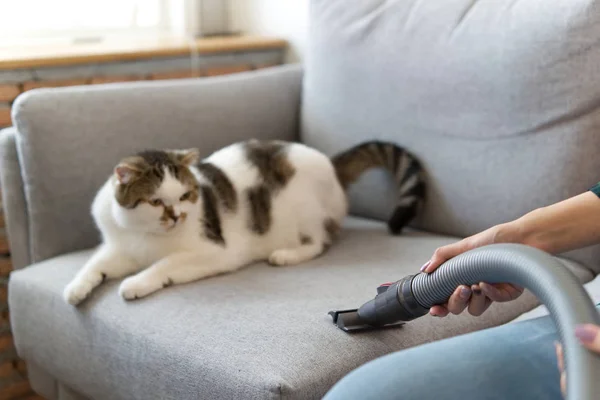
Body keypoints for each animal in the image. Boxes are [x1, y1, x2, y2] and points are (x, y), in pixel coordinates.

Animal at [63, 139, 424, 304]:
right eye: (155, 202)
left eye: (185, 196)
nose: (177, 216)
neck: (145, 234)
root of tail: (328, 160)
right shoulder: (118, 247)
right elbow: (94, 265)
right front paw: (76, 288)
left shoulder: (214, 251)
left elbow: (164, 264)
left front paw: (136, 283)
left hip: (303, 207)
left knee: (320, 241)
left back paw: (286, 254)